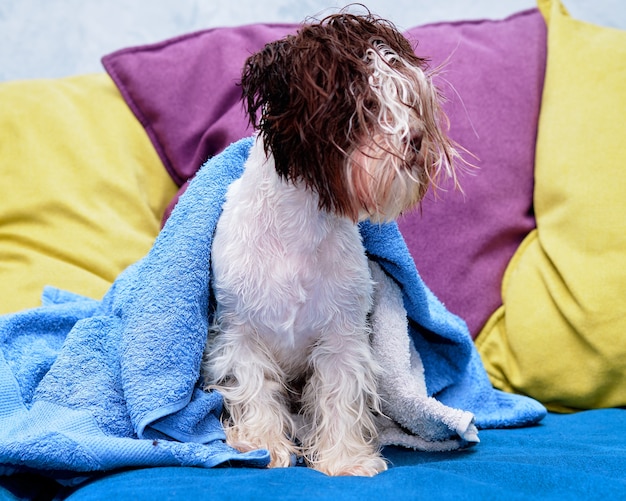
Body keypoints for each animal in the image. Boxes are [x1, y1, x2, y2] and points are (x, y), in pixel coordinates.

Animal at [202, 9, 460, 474]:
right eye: (364, 105)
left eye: (407, 97)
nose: (416, 139)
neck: (299, 230)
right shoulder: (238, 331)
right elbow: (254, 388)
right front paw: (264, 446)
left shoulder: (343, 334)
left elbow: (339, 396)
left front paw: (346, 459)